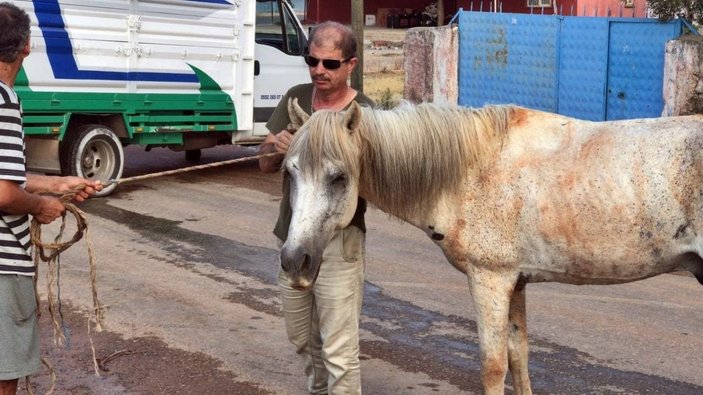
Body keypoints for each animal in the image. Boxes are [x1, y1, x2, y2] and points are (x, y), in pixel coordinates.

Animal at [280, 98, 703, 392]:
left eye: (338, 177)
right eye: (290, 172)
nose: (294, 260)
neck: (472, 168)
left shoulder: (490, 280)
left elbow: (493, 365)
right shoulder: (515, 282)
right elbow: (518, 356)